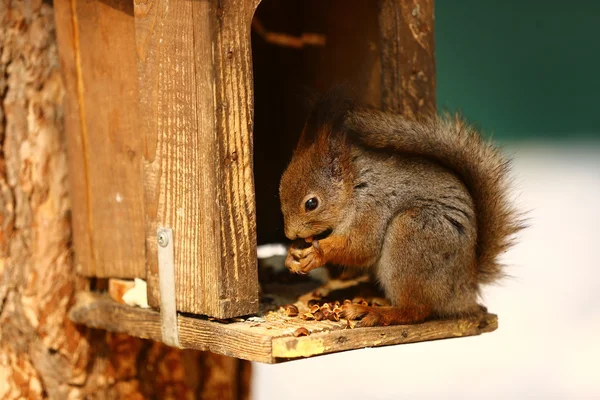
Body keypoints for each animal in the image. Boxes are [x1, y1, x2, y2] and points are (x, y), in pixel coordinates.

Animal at [278, 90, 524, 328]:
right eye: (280, 189)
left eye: (311, 203)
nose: (290, 234)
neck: (355, 186)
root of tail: (464, 288)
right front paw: (292, 255)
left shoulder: (373, 205)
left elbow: (360, 246)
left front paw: (316, 254)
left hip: (411, 235)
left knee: (415, 310)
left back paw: (375, 312)